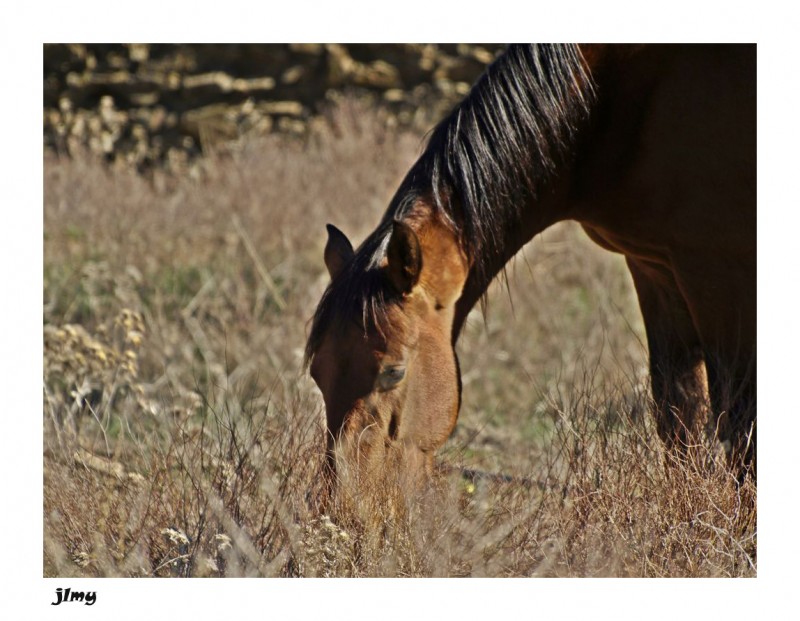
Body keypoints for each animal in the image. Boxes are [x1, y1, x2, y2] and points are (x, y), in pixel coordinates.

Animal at [304, 43, 756, 492]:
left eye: (394, 372)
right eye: (317, 372)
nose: (342, 498)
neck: (603, 103)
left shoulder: (715, 270)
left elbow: (738, 424)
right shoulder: (653, 266)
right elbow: (678, 413)